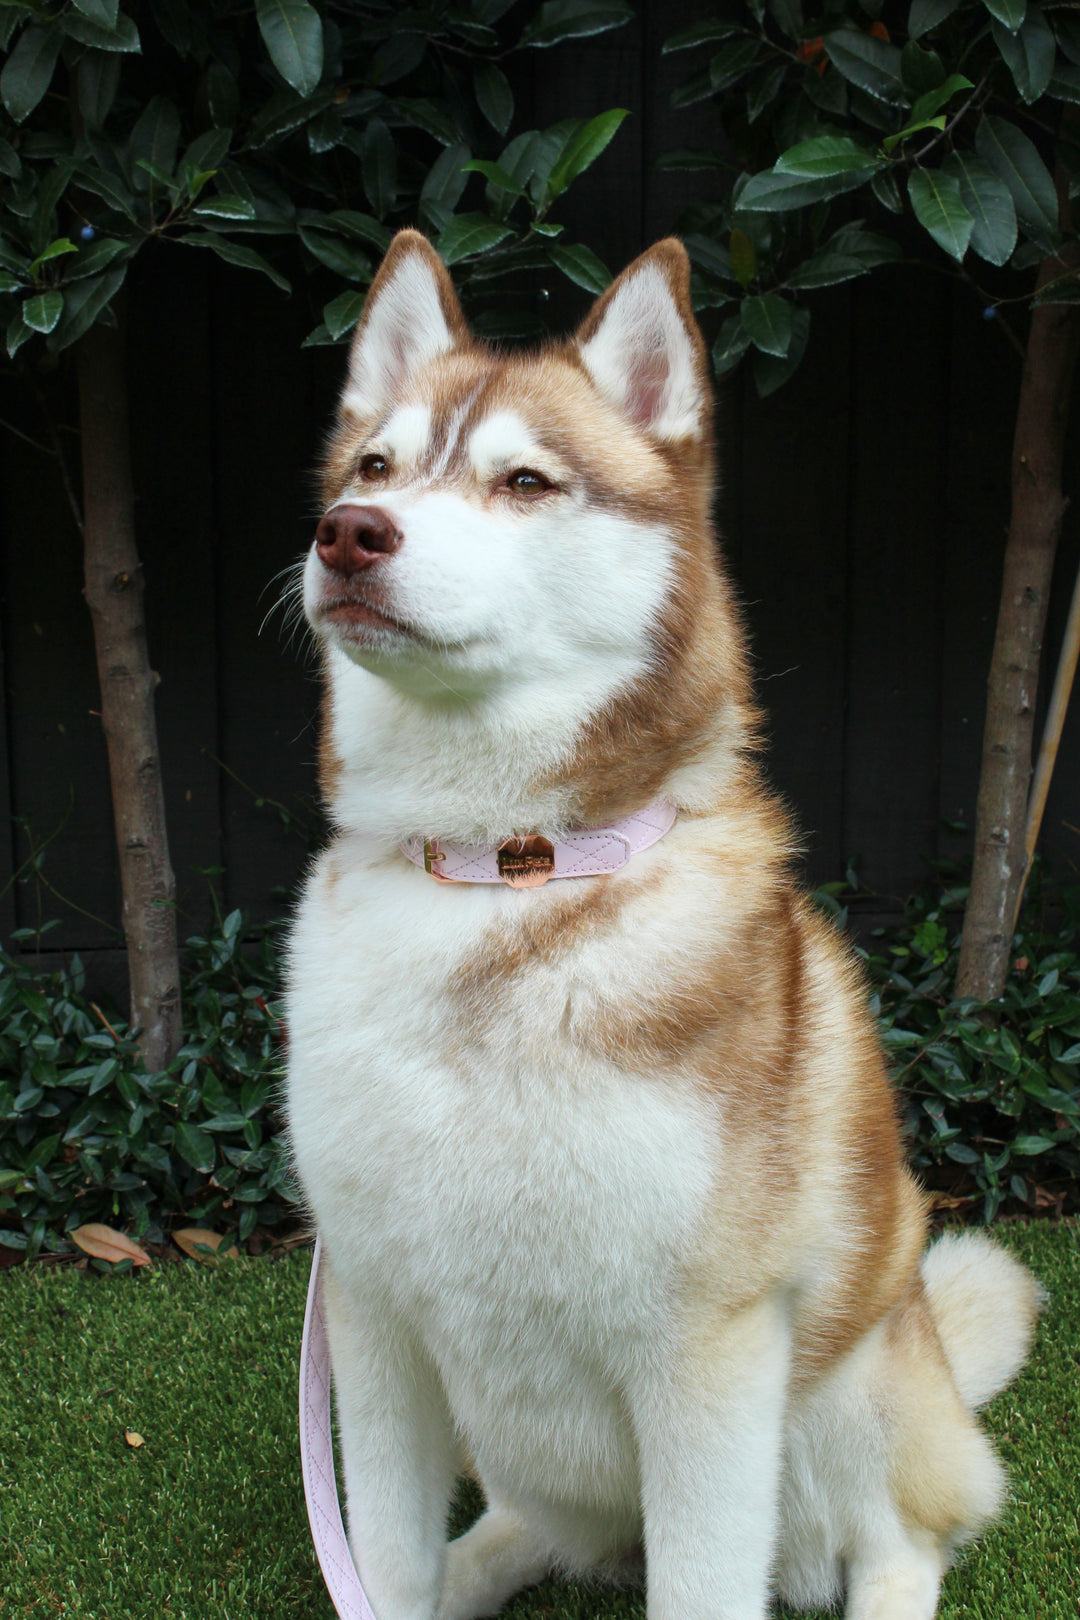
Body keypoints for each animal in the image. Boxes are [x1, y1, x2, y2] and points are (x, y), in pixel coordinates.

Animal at [283, 231, 1042, 1620]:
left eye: (524, 480)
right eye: (374, 466)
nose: (348, 534)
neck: (506, 876)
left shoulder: (705, 1354)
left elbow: (703, 1582)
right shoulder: (374, 1318)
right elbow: (385, 1563)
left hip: (844, 1400)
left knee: (903, 1541)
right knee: (535, 1528)